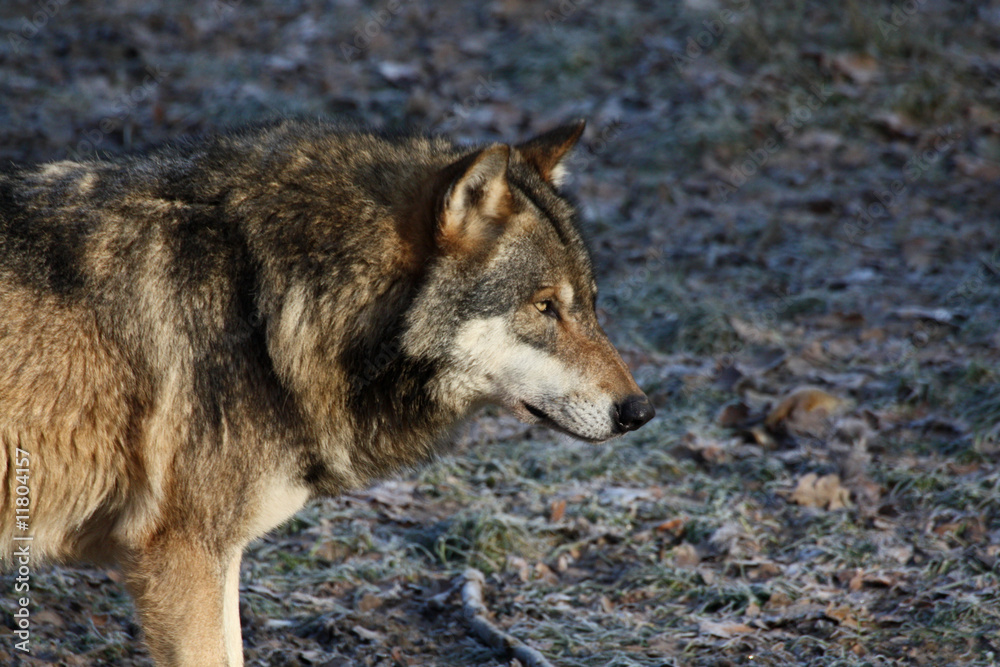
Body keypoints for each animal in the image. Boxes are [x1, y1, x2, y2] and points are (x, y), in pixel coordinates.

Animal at [0, 118, 654, 665]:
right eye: (544, 306)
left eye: (589, 304)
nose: (641, 412)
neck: (270, 304)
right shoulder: (182, 558)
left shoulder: (212, 560)